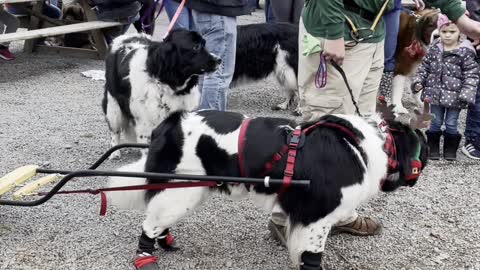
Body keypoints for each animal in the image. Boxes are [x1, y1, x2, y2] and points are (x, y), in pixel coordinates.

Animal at [102, 29, 220, 158]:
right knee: (115, 130)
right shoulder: (145, 123)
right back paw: (114, 152)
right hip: (113, 107)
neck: (168, 84)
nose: (219, 60)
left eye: (204, 43)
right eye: (196, 46)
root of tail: (124, 37)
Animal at [107, 103, 430, 268]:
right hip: (183, 189)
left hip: (184, 190)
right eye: (425, 151)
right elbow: (312, 255)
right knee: (150, 223)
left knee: (157, 217)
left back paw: (166, 241)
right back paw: (146, 256)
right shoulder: (316, 216)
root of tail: (169, 123)